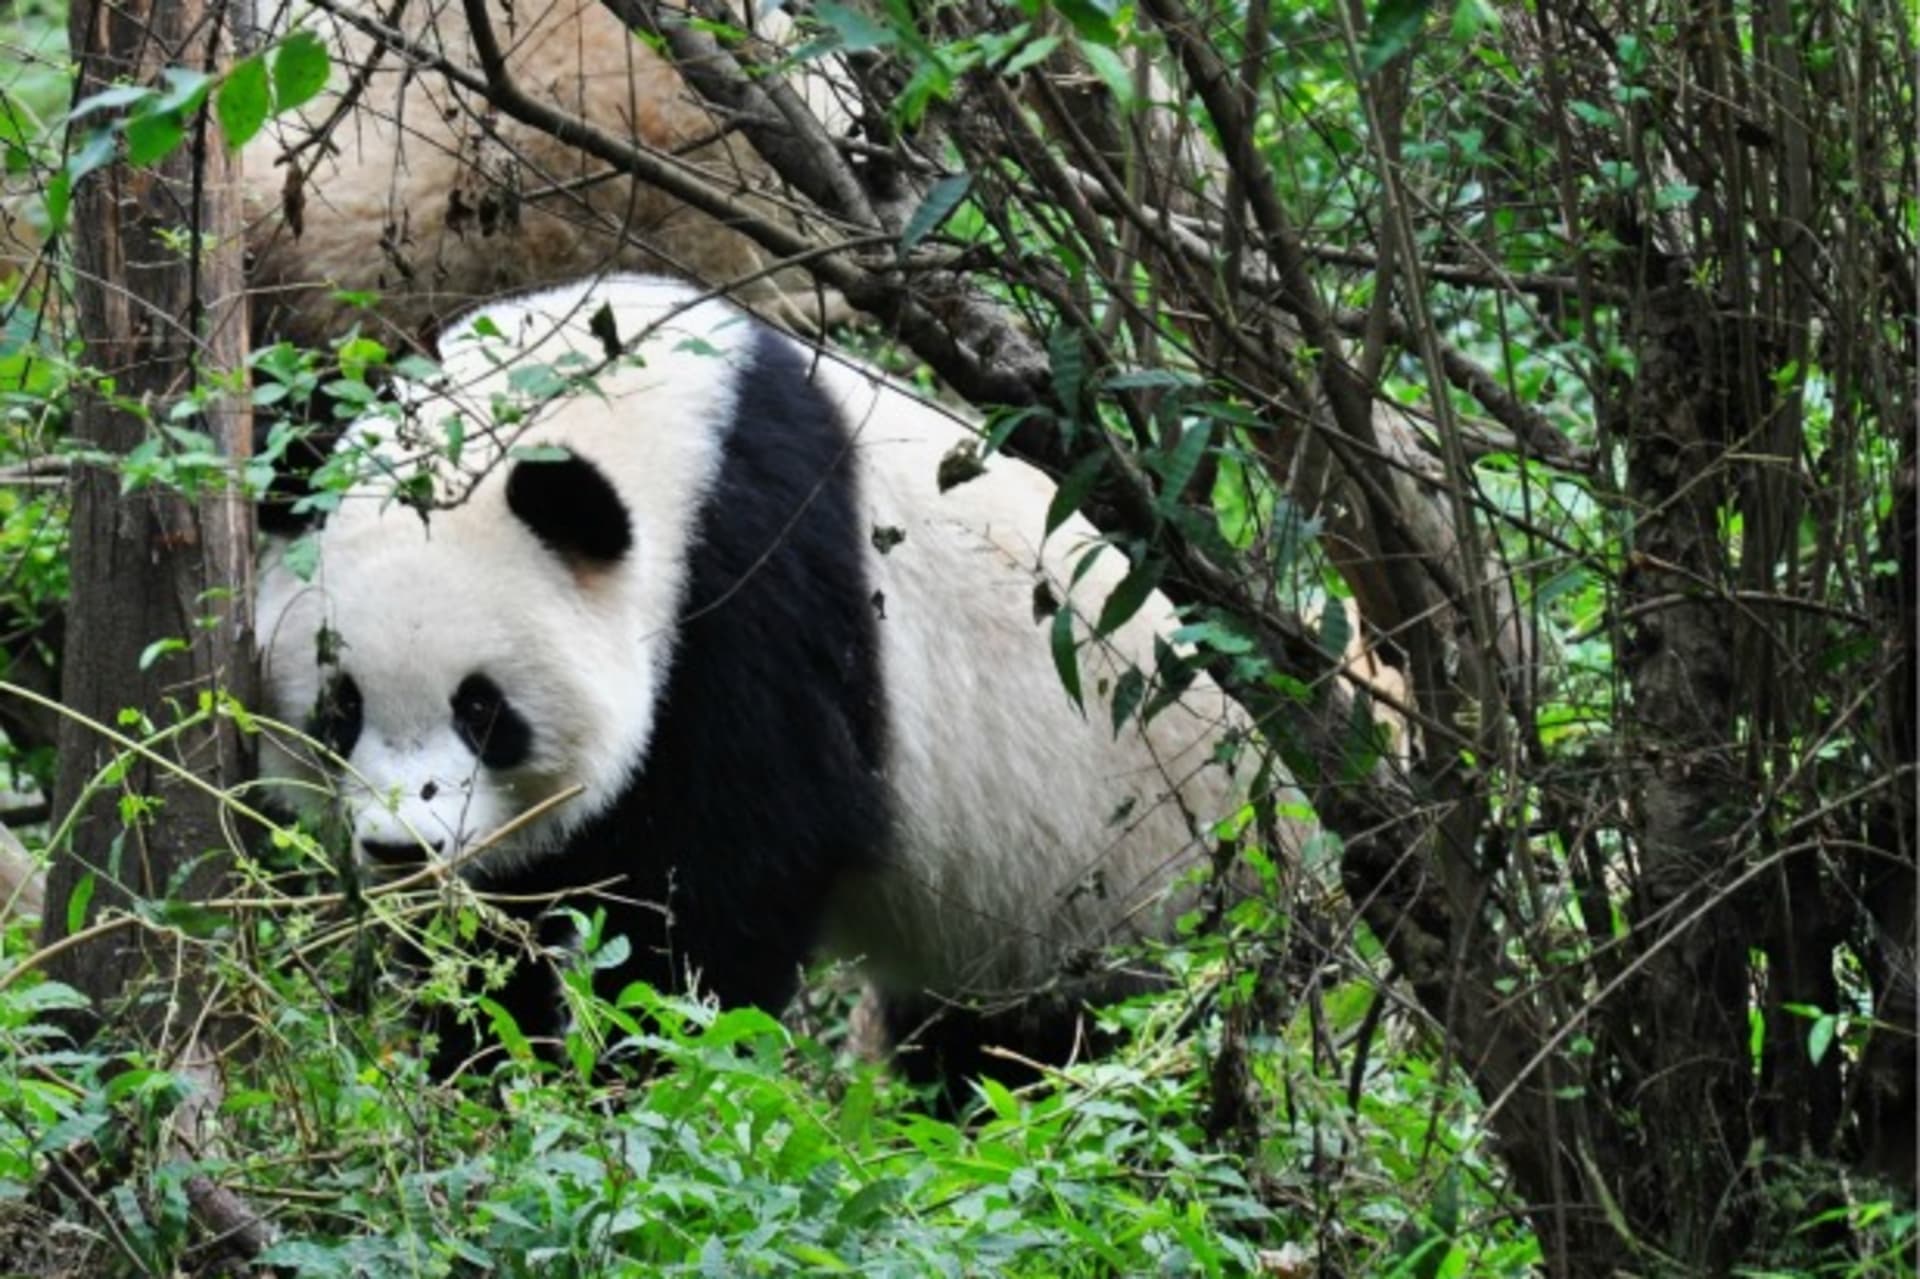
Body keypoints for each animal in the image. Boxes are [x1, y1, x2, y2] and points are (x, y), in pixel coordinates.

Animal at [256, 273, 1290, 1088]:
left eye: (481, 708)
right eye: (340, 707)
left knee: (1091, 1040)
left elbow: (724, 882)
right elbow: (499, 927)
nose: (402, 848)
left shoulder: (756, 592)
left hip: (1153, 874)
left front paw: (638, 1074)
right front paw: (480, 1069)